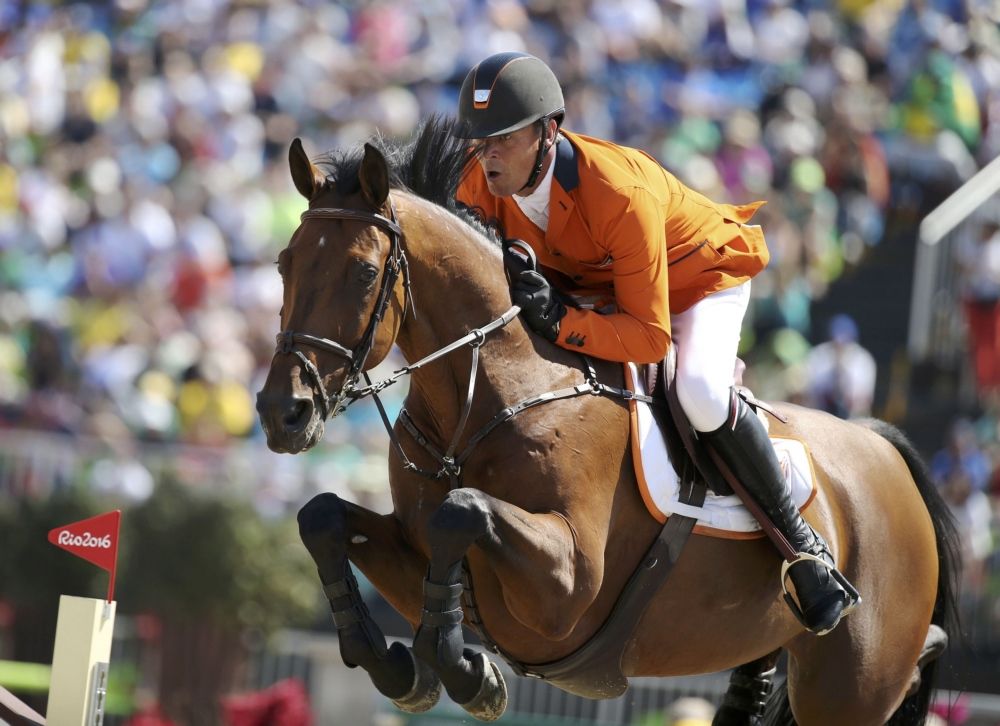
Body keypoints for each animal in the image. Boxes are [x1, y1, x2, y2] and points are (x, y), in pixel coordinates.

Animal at [256, 116, 960, 724]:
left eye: (363, 272)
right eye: (284, 264)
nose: (281, 413)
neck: (489, 395)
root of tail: (884, 447)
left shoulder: (567, 585)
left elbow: (463, 510)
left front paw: (465, 672)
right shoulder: (412, 551)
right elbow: (323, 516)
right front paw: (401, 668)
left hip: (848, 685)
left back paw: (835, 590)